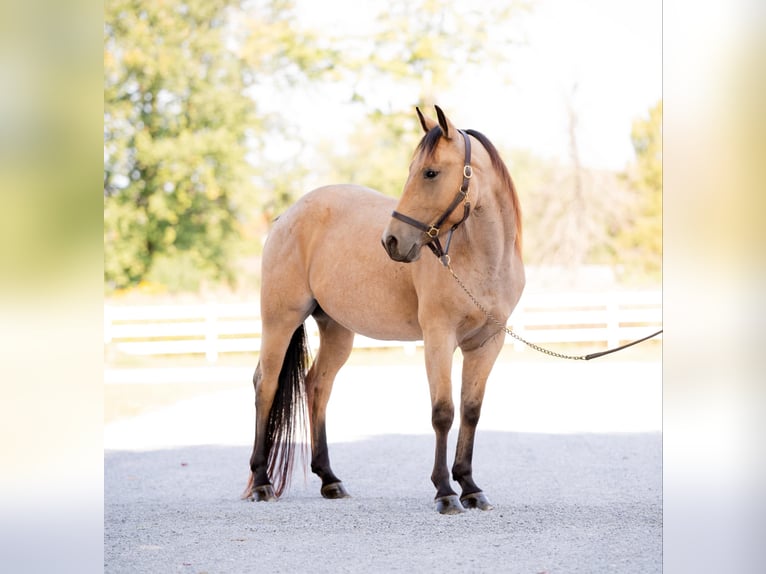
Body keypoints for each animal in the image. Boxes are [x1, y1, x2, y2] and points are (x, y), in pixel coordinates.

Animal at [243, 106, 524, 516]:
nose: (391, 241)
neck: (482, 259)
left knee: (317, 385)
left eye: (430, 172)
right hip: (280, 320)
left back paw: (330, 479)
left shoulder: (488, 343)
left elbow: (471, 410)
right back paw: (262, 481)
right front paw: (445, 491)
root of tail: (286, 216)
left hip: (337, 329)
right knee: (267, 384)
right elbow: (443, 411)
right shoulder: (439, 337)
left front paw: (470, 487)